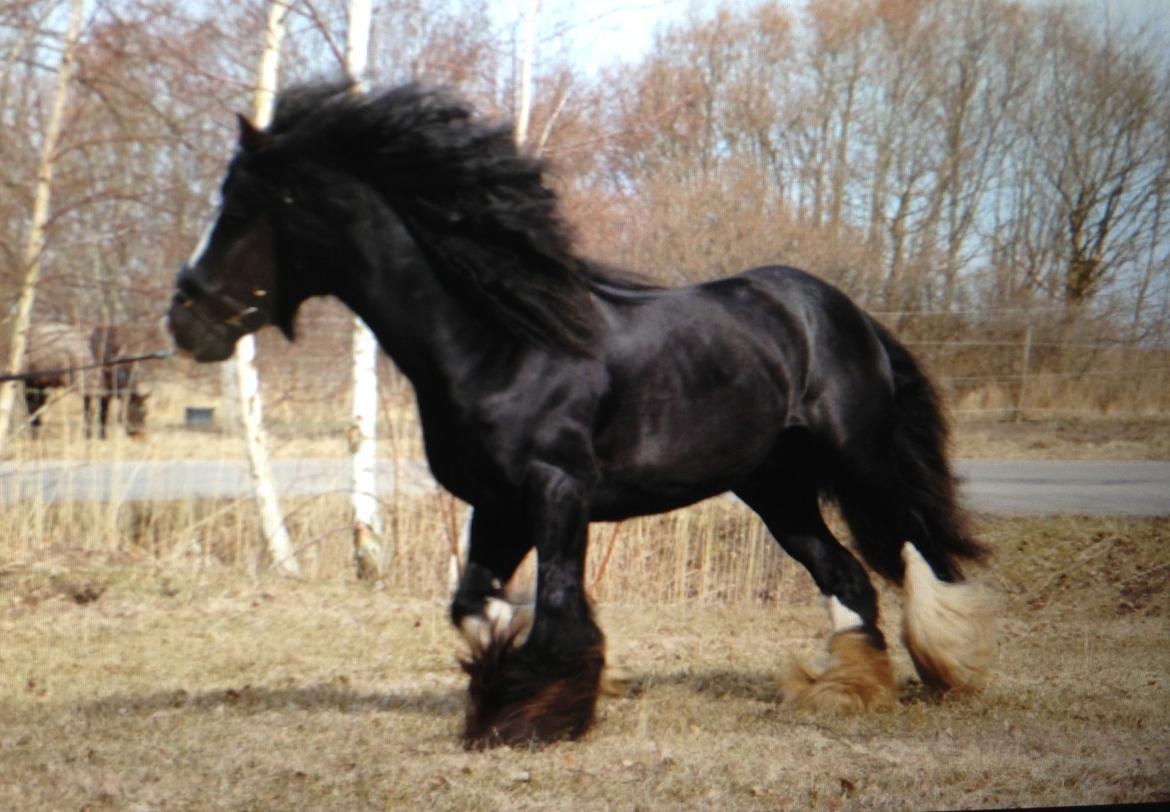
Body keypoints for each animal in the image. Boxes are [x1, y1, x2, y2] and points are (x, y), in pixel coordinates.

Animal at [167, 82, 996, 748]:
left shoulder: (556, 490)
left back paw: (950, 665)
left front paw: (534, 714)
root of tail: (840, 311)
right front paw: (558, 681)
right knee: (849, 577)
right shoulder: (498, 504)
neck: (501, 342)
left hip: (862, 463)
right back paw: (848, 692)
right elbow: (477, 607)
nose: (185, 320)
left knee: (921, 550)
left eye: (239, 209)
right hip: (776, 490)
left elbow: (559, 606)